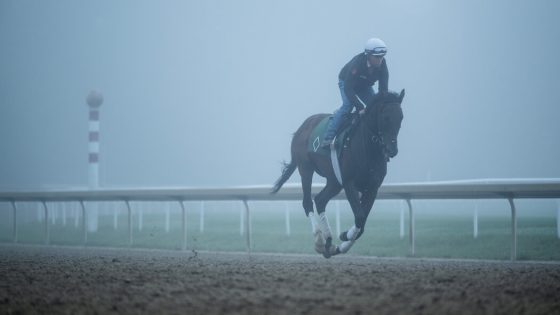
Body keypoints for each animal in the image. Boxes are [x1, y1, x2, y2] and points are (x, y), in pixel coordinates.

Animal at [270, 89, 402, 260]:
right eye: (386, 117)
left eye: (401, 117)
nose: (392, 150)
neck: (367, 147)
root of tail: (302, 127)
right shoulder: (349, 183)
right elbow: (360, 217)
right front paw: (345, 235)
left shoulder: (372, 187)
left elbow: (362, 223)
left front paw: (342, 243)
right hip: (306, 169)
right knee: (308, 202)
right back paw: (320, 241)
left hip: (334, 181)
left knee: (320, 200)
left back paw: (329, 243)